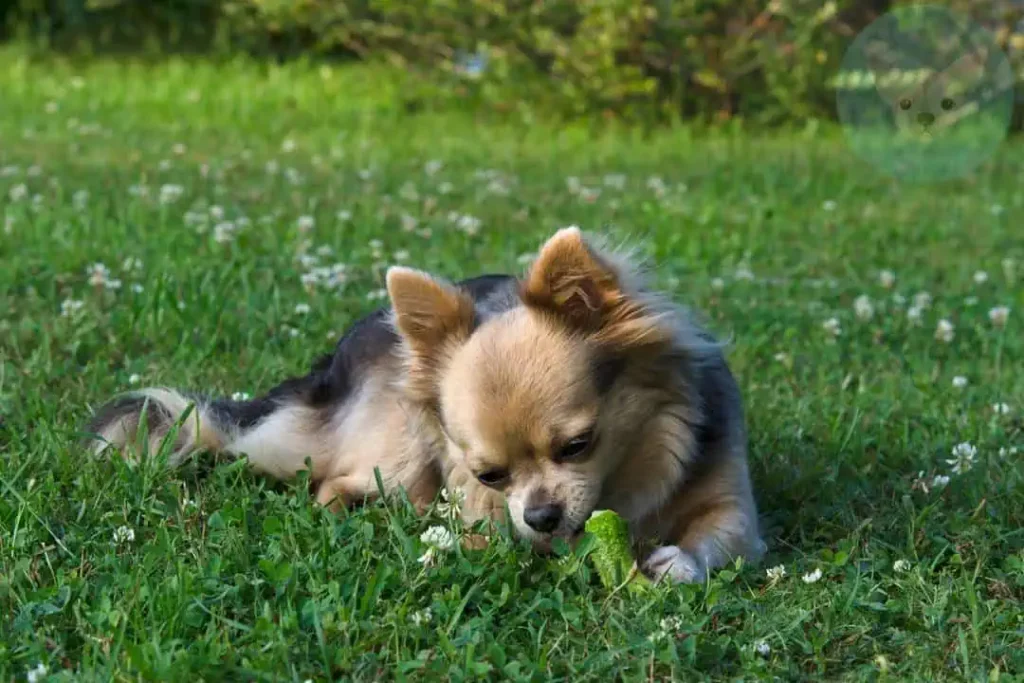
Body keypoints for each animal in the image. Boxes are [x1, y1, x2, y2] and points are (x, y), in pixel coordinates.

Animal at [86, 228, 761, 581]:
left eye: (577, 446)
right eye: (491, 475)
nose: (541, 517)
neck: (626, 477)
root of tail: (332, 363)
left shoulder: (735, 512)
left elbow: (718, 537)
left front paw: (677, 562)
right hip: (401, 448)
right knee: (332, 483)